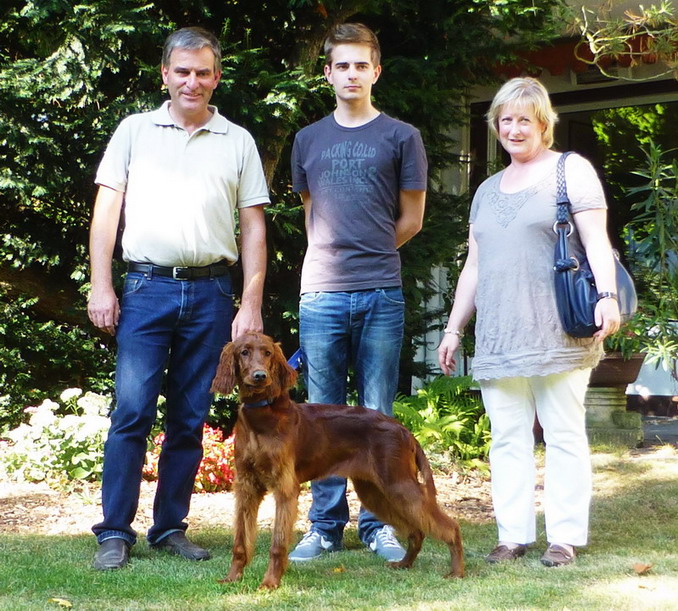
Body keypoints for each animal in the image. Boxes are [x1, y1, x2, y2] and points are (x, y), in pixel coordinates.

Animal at [210, 332, 464, 589]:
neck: (262, 415)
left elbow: (277, 544)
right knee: (416, 531)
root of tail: (403, 429)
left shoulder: (285, 488)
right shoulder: (246, 486)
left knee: (450, 527)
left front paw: (270, 582)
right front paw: (232, 578)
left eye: (268, 353)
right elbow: (240, 542)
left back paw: (457, 572)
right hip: (374, 492)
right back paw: (404, 564)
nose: (260, 376)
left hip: (397, 484)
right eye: (244, 352)